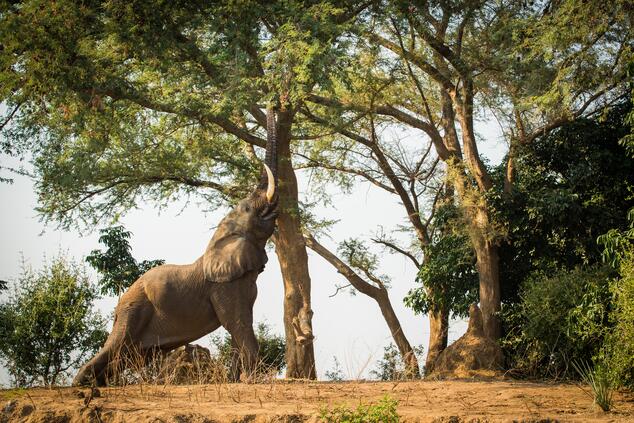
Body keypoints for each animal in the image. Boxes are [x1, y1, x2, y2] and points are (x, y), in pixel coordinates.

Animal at [74, 110, 278, 388]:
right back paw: (81, 383)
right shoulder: (223, 286)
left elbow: (241, 322)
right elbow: (237, 322)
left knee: (124, 356)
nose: (273, 105)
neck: (221, 236)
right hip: (133, 309)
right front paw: (256, 379)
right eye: (248, 208)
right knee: (116, 346)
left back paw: (99, 383)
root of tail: (121, 301)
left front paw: (236, 379)